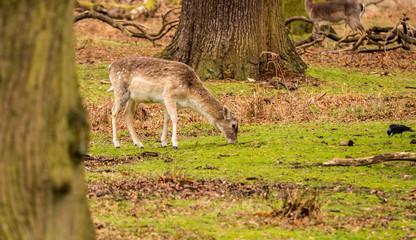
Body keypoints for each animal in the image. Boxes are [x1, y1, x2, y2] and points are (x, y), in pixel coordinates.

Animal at [108, 57, 237, 149]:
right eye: (233, 125)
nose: (235, 141)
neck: (188, 94)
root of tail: (110, 66)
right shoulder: (169, 95)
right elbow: (175, 118)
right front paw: (175, 143)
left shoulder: (165, 100)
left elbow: (167, 119)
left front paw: (163, 142)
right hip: (120, 89)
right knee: (114, 111)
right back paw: (117, 144)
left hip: (133, 97)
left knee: (127, 113)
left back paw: (139, 144)